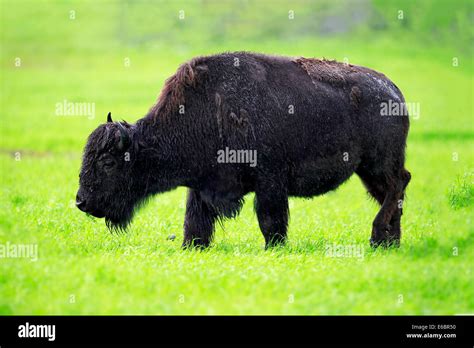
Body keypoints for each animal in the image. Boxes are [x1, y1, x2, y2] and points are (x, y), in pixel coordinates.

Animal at [76, 51, 410, 247]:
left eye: (108, 162)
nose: (81, 201)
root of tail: (395, 91)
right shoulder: (201, 187)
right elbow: (195, 223)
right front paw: (192, 248)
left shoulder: (269, 182)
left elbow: (270, 220)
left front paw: (274, 248)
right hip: (367, 170)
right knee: (393, 194)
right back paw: (389, 242)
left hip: (379, 163)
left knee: (398, 185)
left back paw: (377, 237)